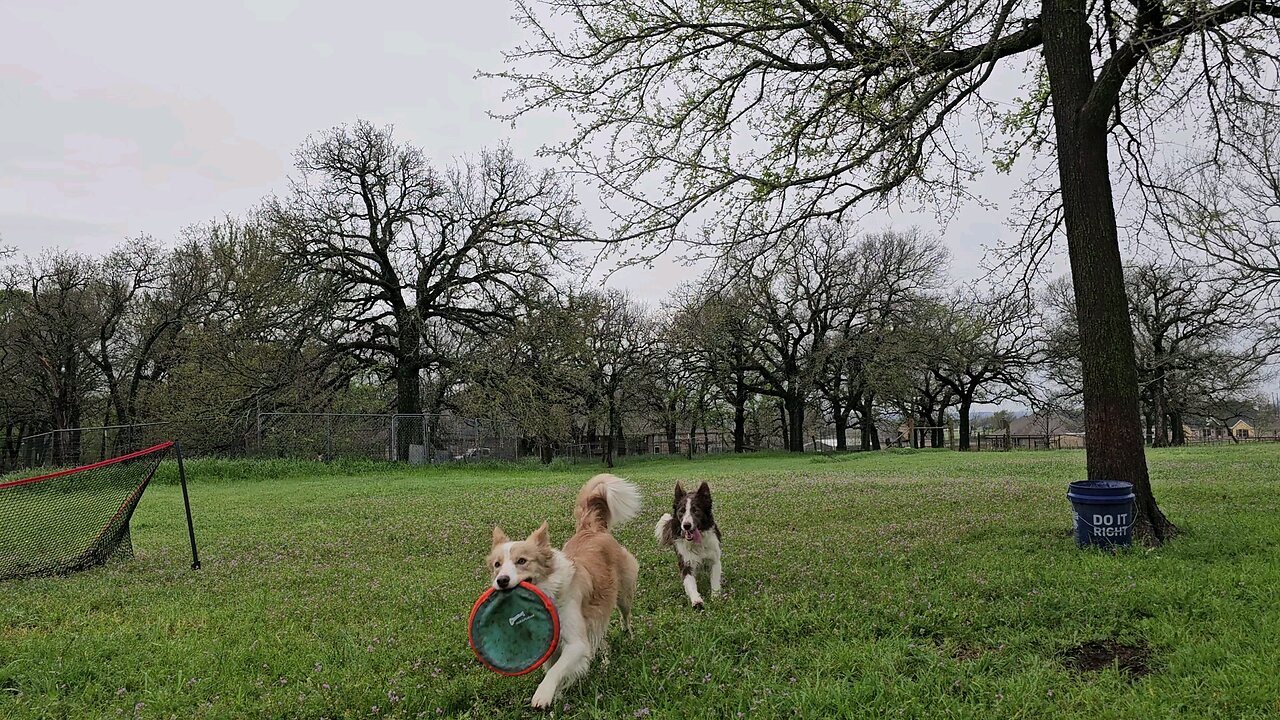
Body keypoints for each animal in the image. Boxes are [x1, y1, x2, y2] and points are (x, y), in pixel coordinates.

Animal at [483, 471, 640, 707]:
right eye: (497, 565)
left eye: (522, 561)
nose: (501, 580)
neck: (550, 591)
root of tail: (591, 529)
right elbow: (552, 667)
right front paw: (557, 694)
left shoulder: (576, 643)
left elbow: (556, 670)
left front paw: (544, 694)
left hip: (623, 593)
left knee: (625, 615)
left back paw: (627, 635)